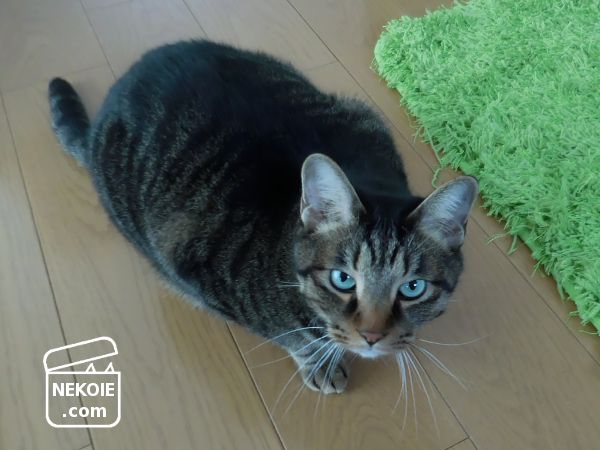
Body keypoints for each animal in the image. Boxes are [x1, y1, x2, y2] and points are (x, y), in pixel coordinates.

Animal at [48, 40, 477, 394]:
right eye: (342, 279)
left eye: (412, 288)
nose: (371, 336)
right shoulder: (203, 277)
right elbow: (292, 336)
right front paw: (320, 360)